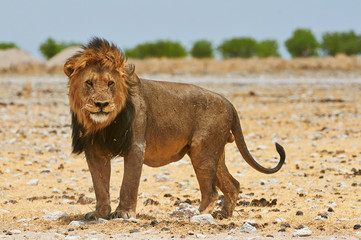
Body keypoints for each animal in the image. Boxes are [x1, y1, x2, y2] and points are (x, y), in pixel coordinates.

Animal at [64, 38, 284, 221]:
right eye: (89, 83)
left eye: (111, 83)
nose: (102, 104)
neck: (102, 125)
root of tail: (228, 102)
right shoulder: (94, 151)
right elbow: (100, 185)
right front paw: (99, 214)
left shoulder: (136, 146)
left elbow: (129, 182)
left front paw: (124, 213)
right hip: (214, 152)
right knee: (232, 184)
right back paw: (223, 215)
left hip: (202, 151)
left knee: (211, 191)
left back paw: (196, 215)